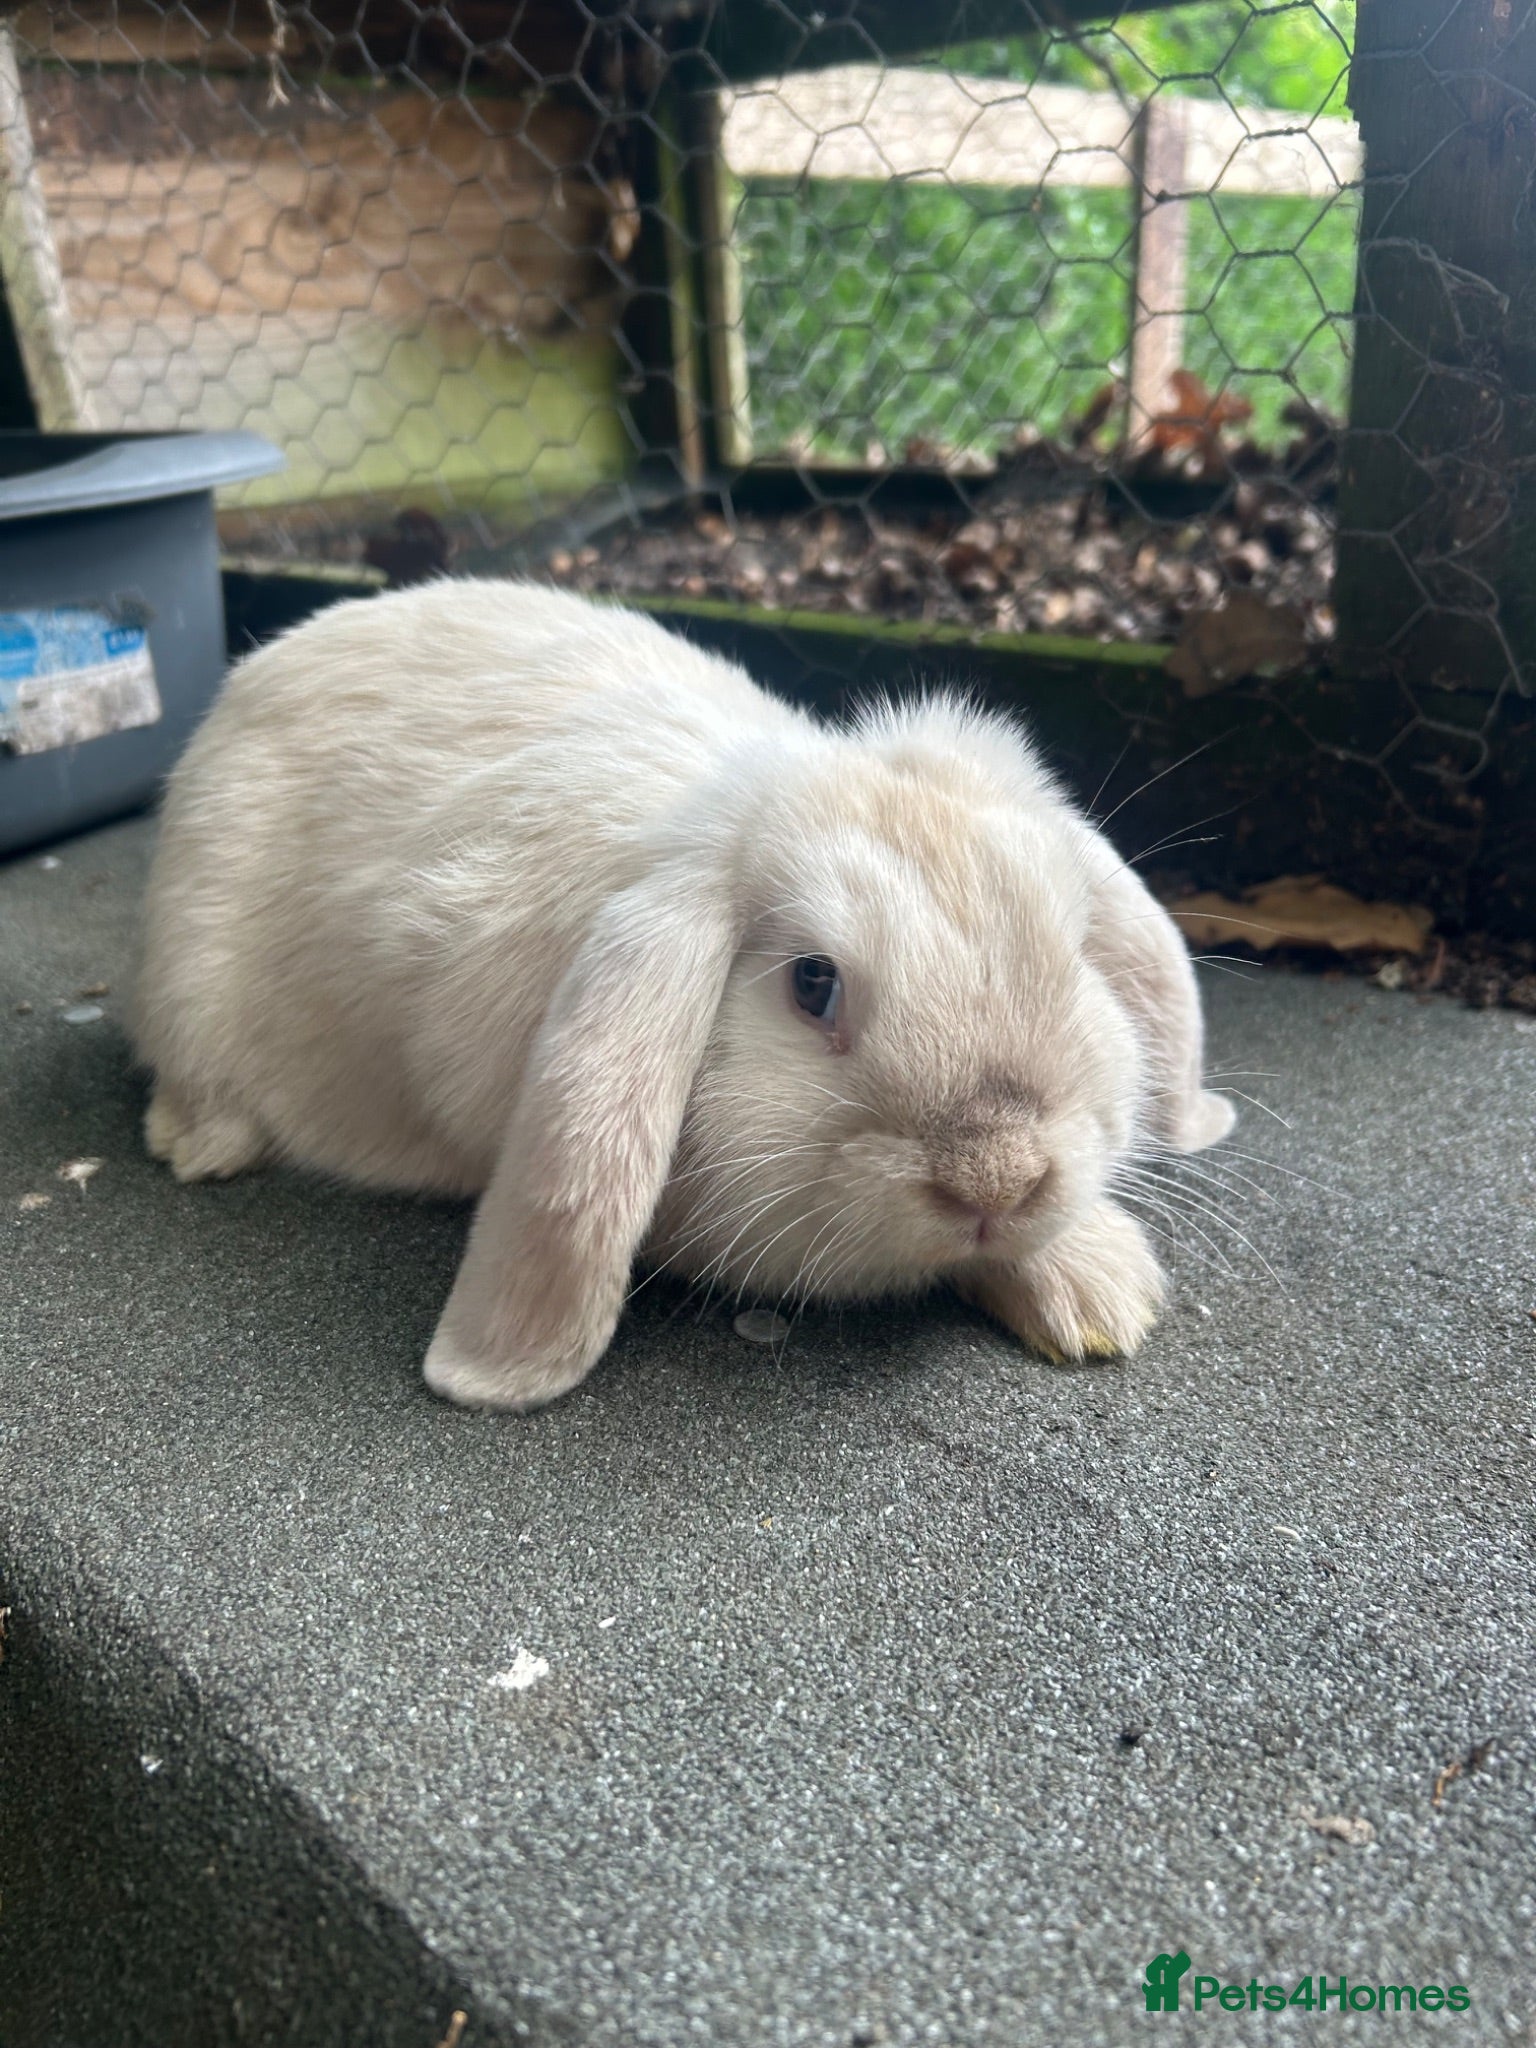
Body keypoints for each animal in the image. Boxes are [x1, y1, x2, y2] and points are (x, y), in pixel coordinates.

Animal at [133, 578, 1235, 1411]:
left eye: (1070, 946)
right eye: (813, 983)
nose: (997, 1178)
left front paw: (1101, 1297)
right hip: (189, 968)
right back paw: (200, 1145)